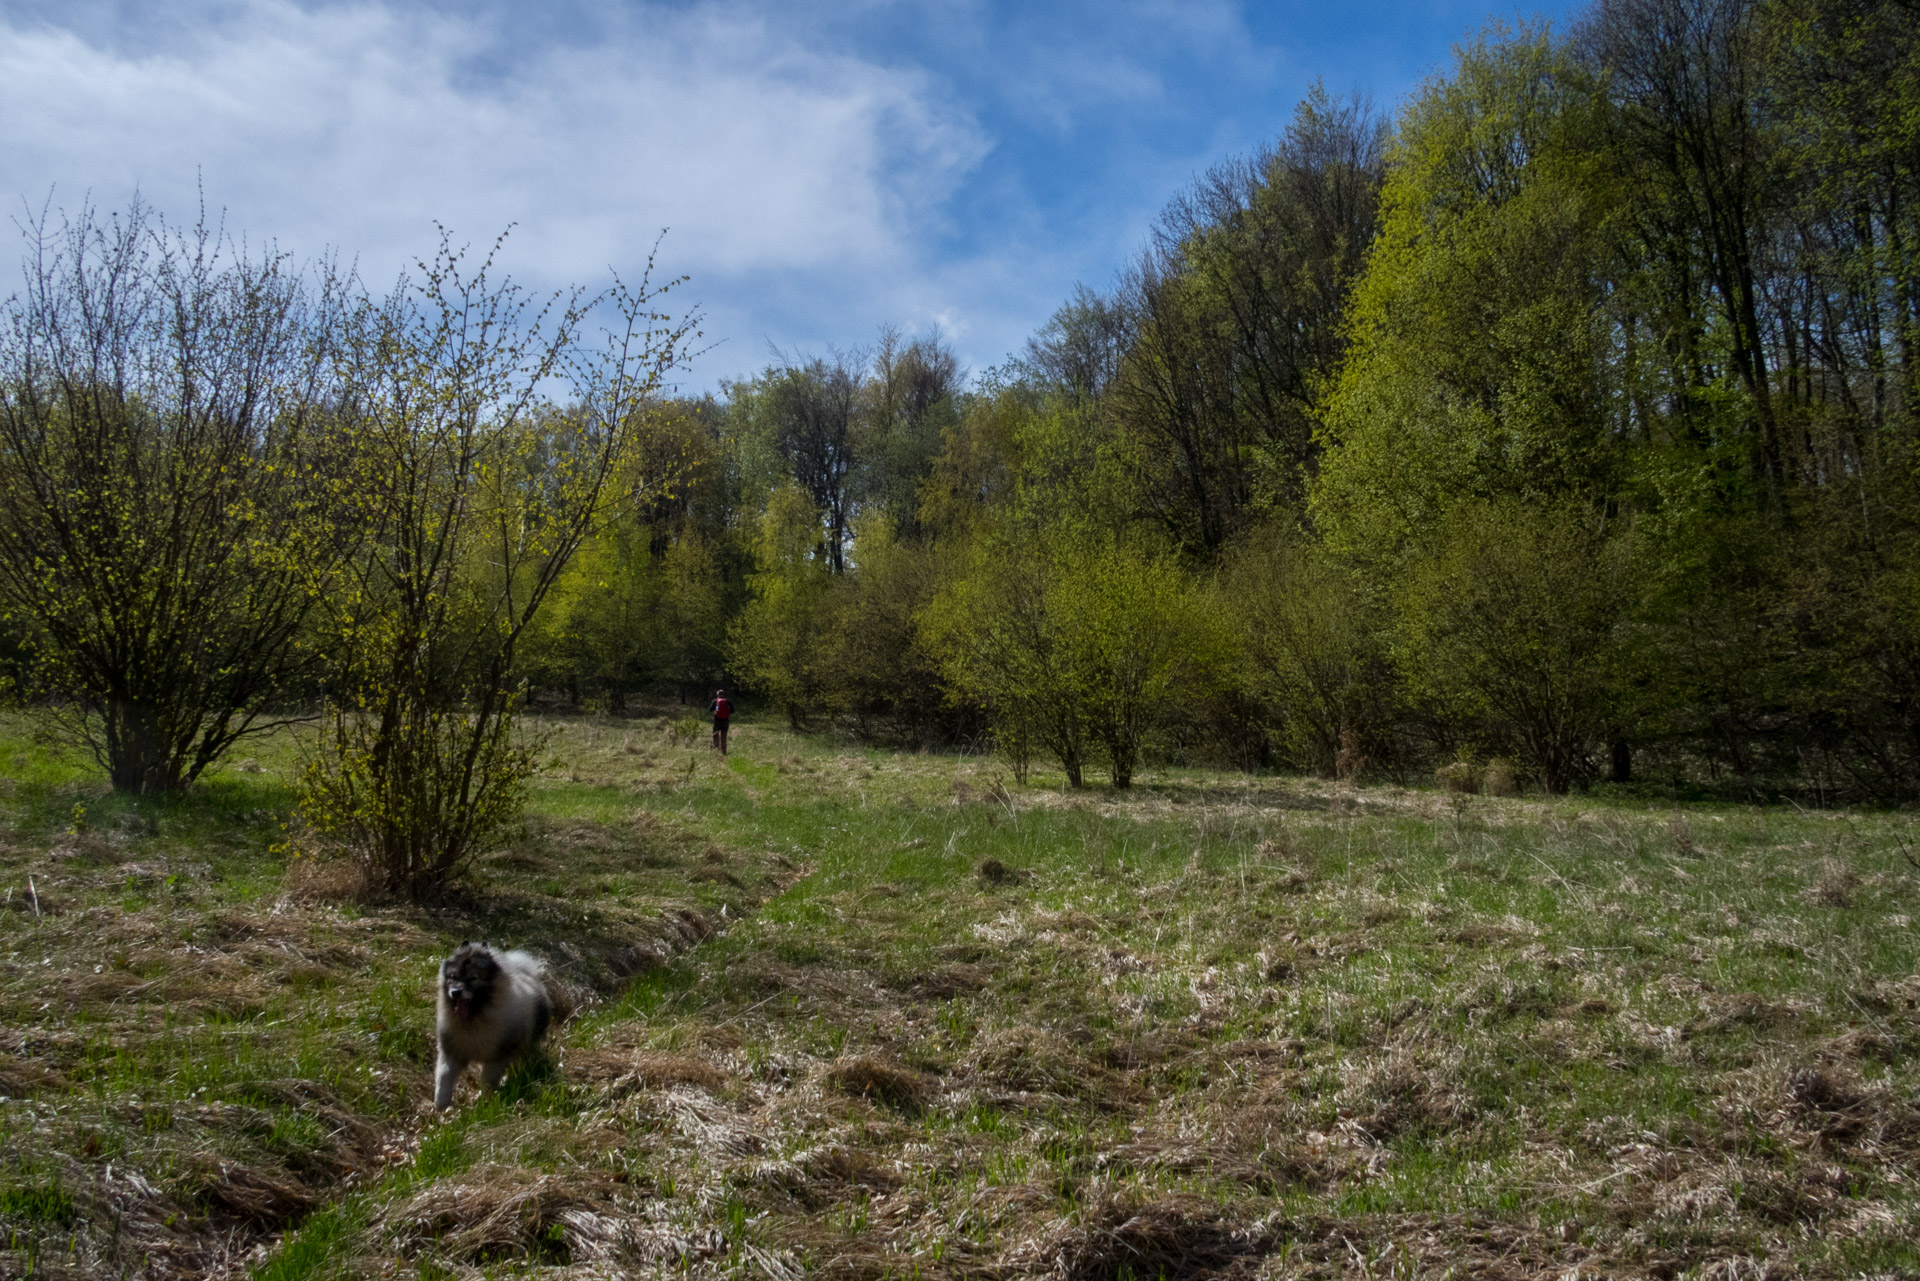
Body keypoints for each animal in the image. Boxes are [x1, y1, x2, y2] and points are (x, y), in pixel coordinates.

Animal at [433, 941, 552, 1113]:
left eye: (473, 978)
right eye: (453, 977)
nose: (455, 992)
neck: (474, 1021)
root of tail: (526, 973)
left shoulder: (496, 1058)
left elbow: (487, 1081)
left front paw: (485, 1101)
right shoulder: (452, 1052)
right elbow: (444, 1078)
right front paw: (441, 1106)